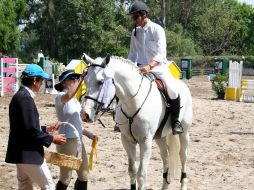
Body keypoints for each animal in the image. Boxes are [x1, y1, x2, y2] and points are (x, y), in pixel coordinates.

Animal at [80, 54, 191, 189]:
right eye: (85, 80)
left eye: (100, 82)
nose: (84, 114)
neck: (134, 102)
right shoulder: (127, 140)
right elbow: (132, 171)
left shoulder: (145, 141)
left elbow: (141, 174)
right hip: (160, 137)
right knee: (165, 157)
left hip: (184, 133)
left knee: (183, 156)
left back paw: (183, 185)